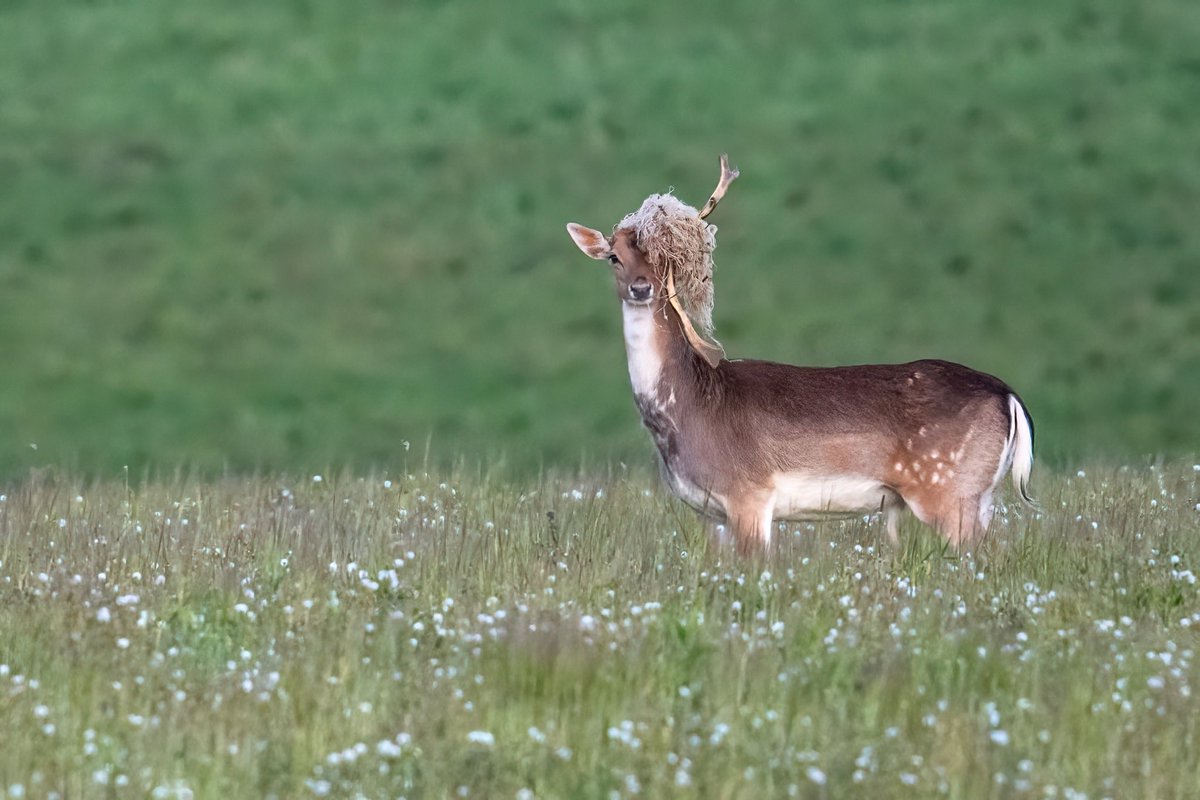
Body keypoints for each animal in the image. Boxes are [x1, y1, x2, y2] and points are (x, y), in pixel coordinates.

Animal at [566, 155, 1035, 553]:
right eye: (613, 257)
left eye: (665, 259)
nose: (640, 288)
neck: (684, 412)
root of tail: (1010, 397)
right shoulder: (715, 513)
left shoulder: (749, 493)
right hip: (980, 496)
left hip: (948, 488)